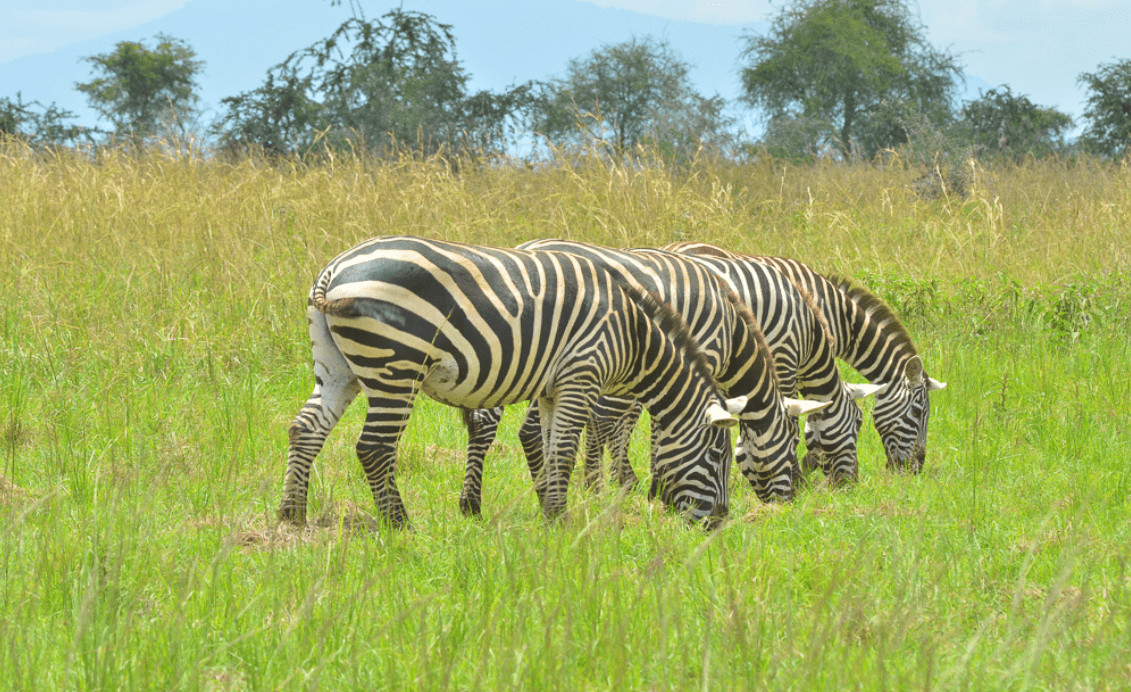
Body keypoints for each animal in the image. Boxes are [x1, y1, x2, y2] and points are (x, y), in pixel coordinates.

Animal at [278, 235, 749, 528]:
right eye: (717, 457)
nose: (719, 523)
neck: (633, 332)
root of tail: (334, 270)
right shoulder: (581, 374)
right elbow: (563, 451)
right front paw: (561, 520)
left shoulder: (554, 388)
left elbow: (549, 447)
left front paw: (550, 509)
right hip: (395, 366)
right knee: (374, 447)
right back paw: (400, 525)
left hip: (338, 369)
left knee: (305, 429)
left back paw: (292, 515)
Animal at [457, 239, 832, 514]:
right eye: (793, 442)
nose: (789, 505)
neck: (731, 328)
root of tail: (526, 245)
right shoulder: (701, 359)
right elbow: (668, 428)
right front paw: (658, 489)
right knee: (524, 428)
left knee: (488, 420)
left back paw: (475, 502)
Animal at [666, 242, 947, 474]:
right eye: (918, 411)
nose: (916, 469)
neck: (838, 317)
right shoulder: (795, 358)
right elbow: (810, 410)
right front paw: (809, 461)